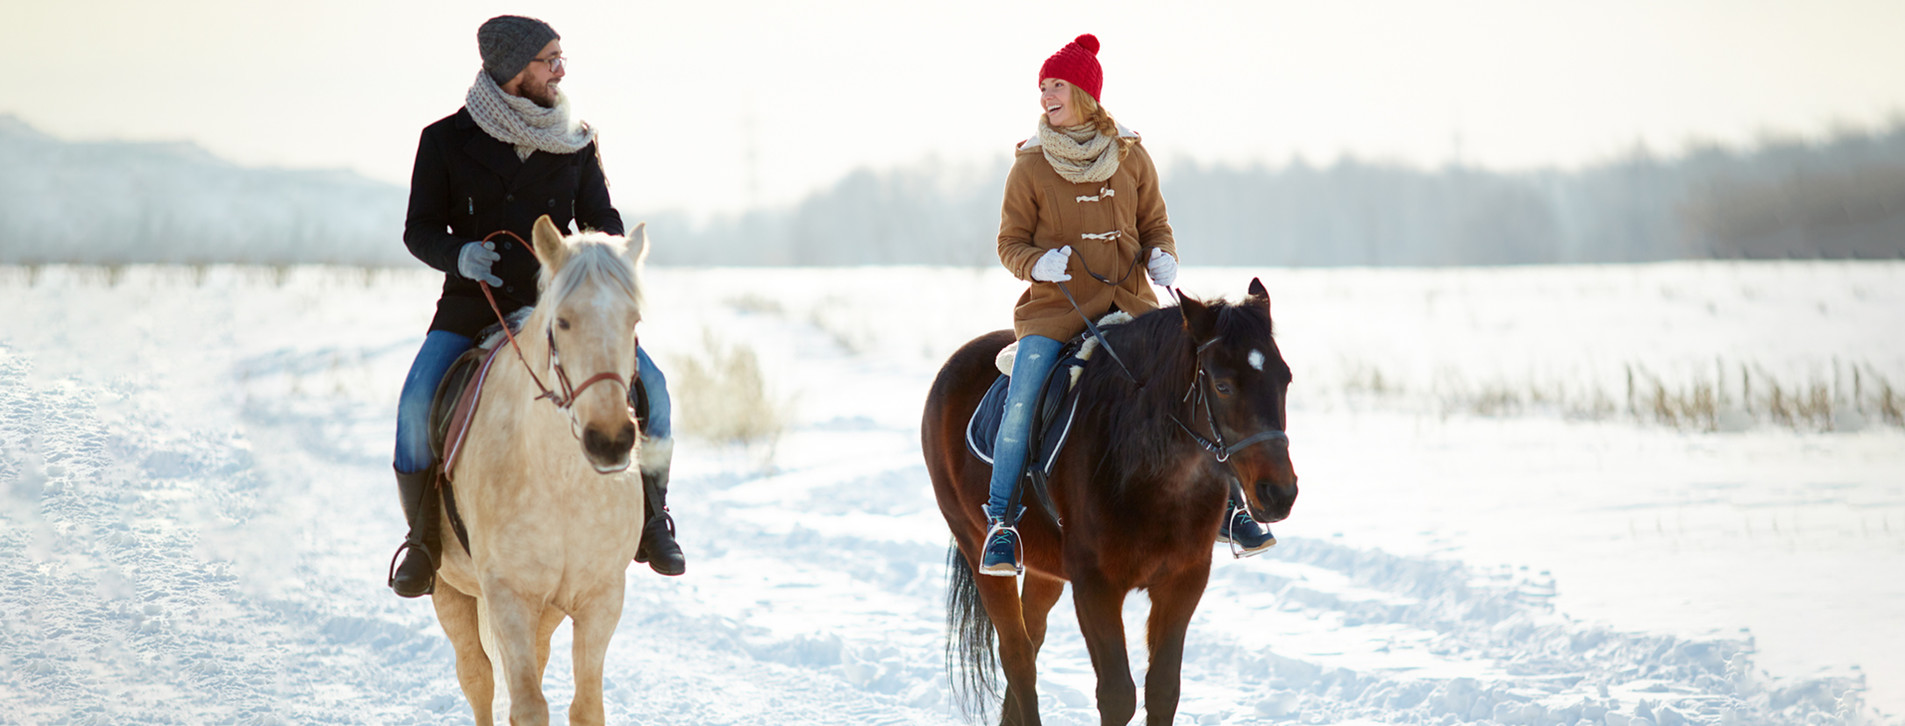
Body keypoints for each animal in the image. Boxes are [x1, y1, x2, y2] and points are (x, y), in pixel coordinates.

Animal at [430, 215, 655, 724]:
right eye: (563, 321)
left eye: (633, 321)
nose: (610, 441)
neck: (562, 482)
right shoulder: (508, 596)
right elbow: (527, 705)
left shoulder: (600, 598)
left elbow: (586, 706)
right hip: (449, 589)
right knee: (477, 678)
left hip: (549, 609)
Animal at [918, 278, 1295, 724]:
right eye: (1222, 385)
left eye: (1285, 379)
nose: (1280, 493)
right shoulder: (1095, 585)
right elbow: (1118, 694)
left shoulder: (1183, 580)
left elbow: (1162, 689)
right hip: (976, 543)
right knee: (1017, 654)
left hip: (1048, 569)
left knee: (1032, 638)